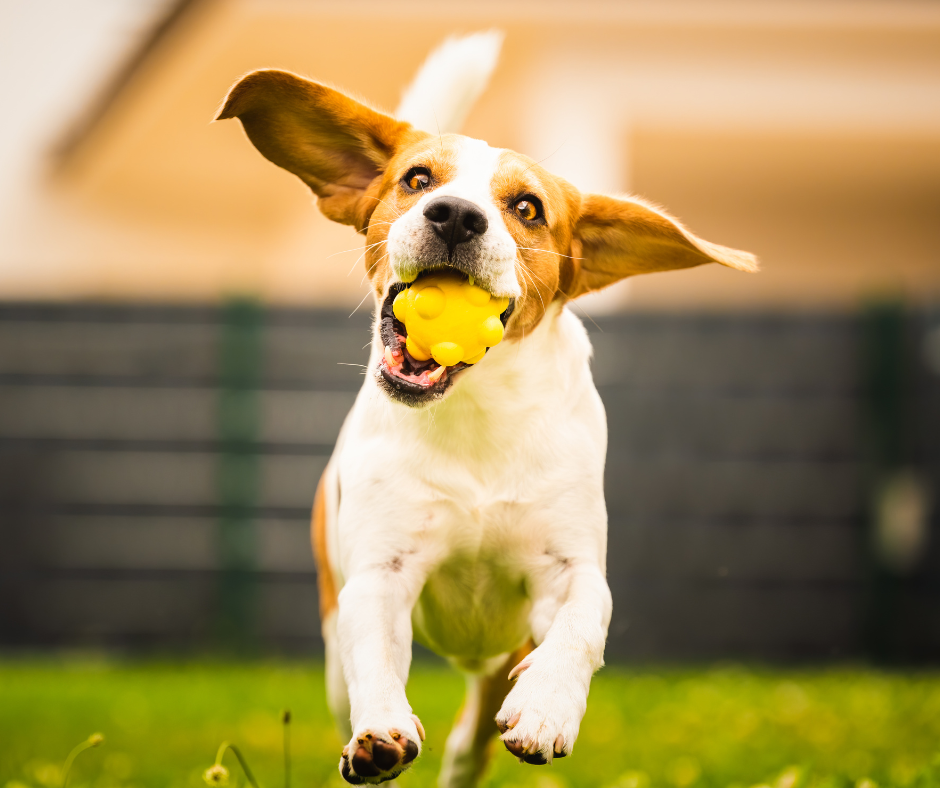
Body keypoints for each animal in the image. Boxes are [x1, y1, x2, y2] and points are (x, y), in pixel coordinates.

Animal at [218, 33, 756, 784]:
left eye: (527, 208)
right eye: (418, 179)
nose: (455, 214)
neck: (475, 415)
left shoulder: (571, 569)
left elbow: (581, 624)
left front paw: (548, 709)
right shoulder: (379, 574)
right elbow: (374, 655)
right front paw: (381, 732)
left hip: (502, 654)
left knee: (473, 735)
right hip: (333, 652)